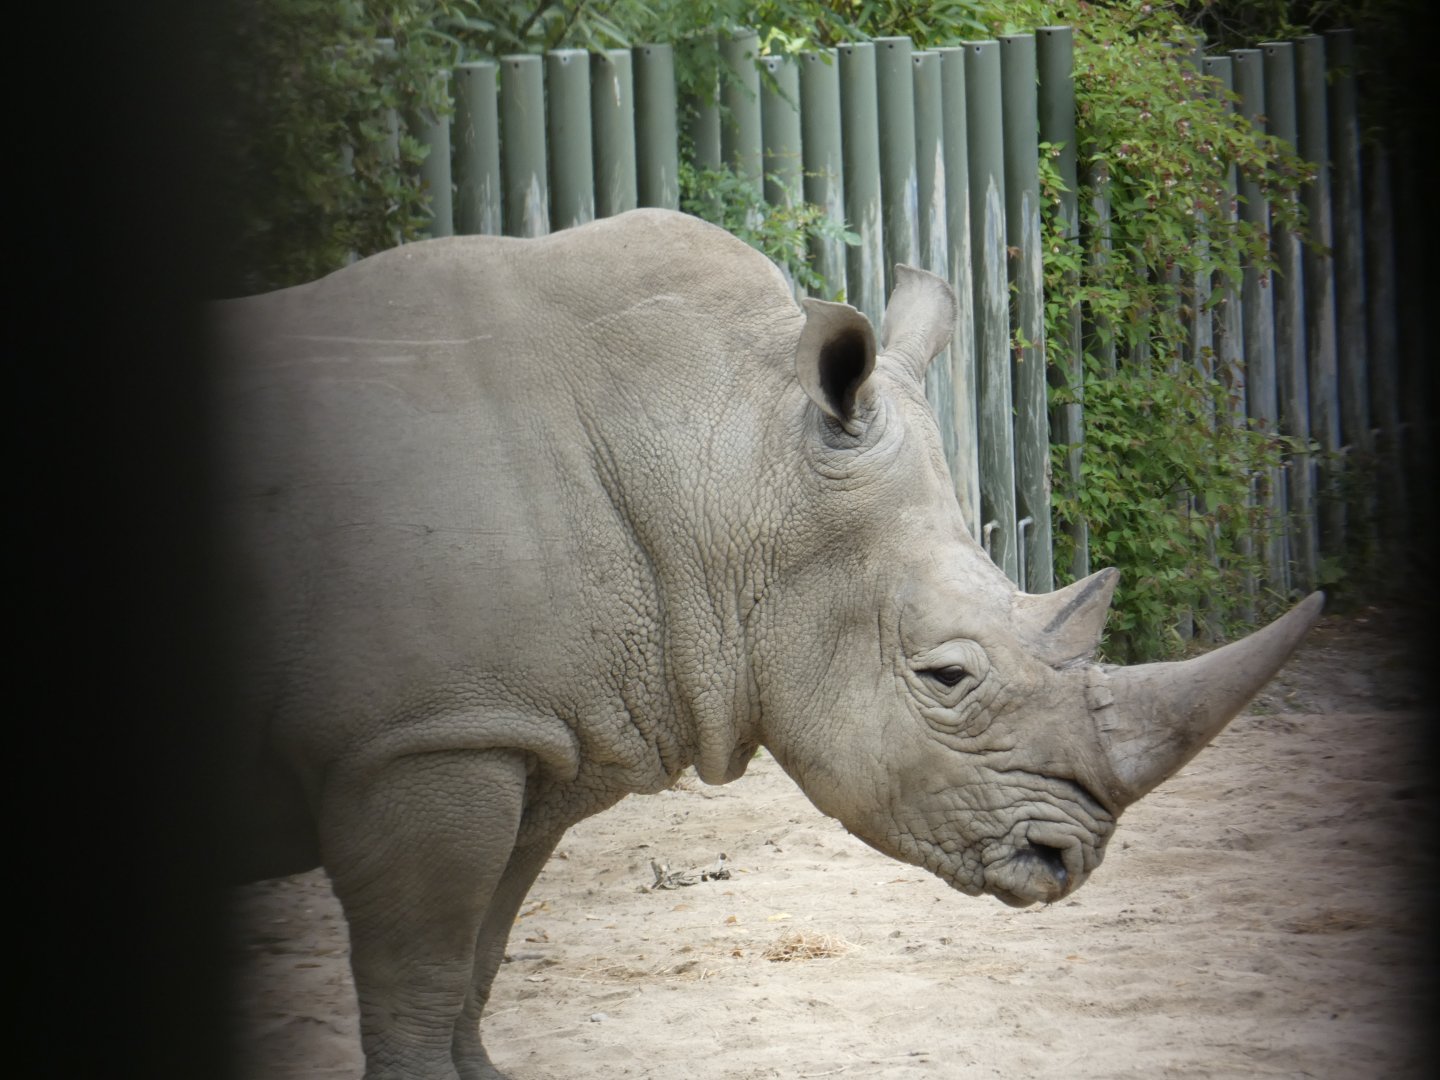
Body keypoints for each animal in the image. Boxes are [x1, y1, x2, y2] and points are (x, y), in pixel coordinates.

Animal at [213, 209, 1322, 1080]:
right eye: (948, 675)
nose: (1066, 861)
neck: (727, 463)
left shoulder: (521, 730)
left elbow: (473, 969)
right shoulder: (420, 738)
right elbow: (420, 977)